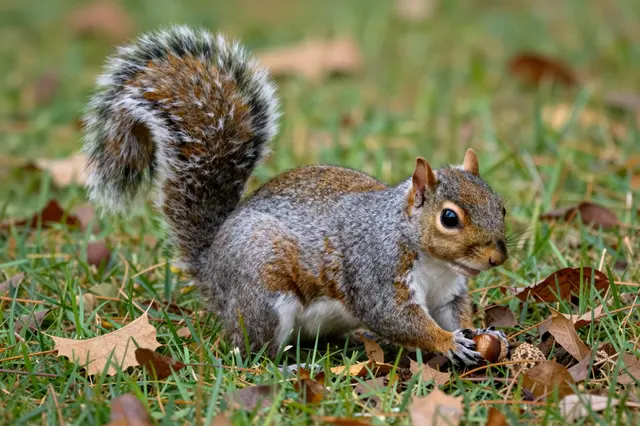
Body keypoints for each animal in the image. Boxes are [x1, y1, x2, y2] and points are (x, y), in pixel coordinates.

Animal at [82, 26, 509, 366]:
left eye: (501, 206)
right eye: (449, 218)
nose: (497, 257)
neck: (434, 261)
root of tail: (212, 269)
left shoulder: (446, 294)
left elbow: (455, 313)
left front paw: (484, 332)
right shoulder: (377, 272)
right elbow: (396, 318)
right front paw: (447, 342)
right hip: (264, 297)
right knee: (254, 355)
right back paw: (291, 368)